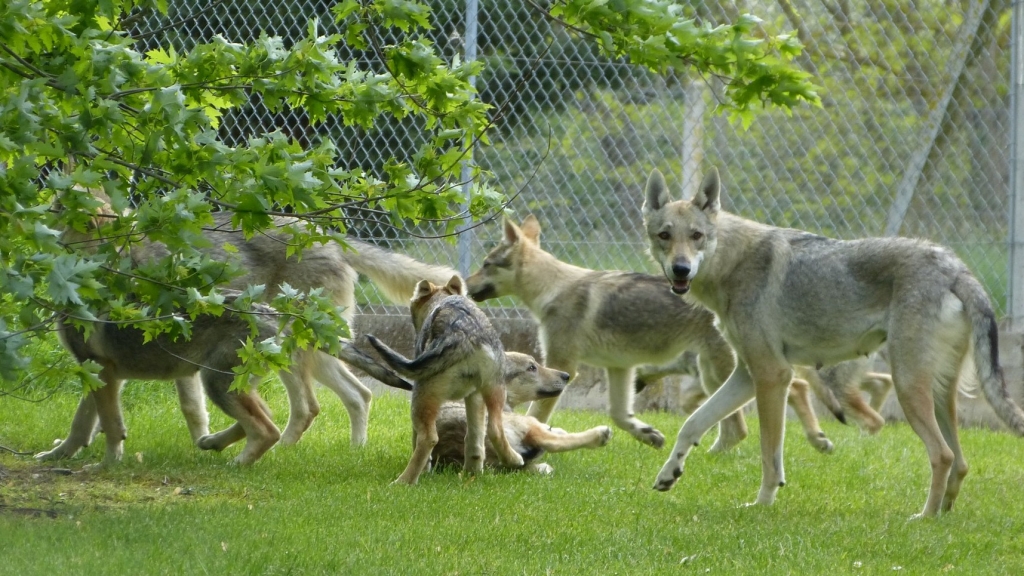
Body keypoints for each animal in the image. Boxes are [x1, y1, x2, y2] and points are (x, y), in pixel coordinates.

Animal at [370, 276, 528, 481]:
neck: (442, 300)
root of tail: (463, 334)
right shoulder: (475, 397)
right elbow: (476, 440)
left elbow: (416, 440)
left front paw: (424, 471)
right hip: (495, 390)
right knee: (492, 430)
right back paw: (501, 463)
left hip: (423, 396)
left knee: (428, 439)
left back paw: (404, 481)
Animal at [468, 214, 835, 453]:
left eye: (486, 264)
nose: (466, 284)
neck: (553, 288)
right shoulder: (620, 368)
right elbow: (620, 416)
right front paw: (648, 435)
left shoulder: (563, 365)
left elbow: (537, 416)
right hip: (716, 371)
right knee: (777, 400)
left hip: (722, 370)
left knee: (772, 404)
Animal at [638, 165, 1024, 516]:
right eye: (665, 235)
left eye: (697, 236)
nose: (681, 270)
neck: (731, 264)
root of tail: (955, 267)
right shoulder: (748, 375)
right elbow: (692, 424)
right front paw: (669, 474)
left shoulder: (772, 375)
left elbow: (769, 455)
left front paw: (761, 505)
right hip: (939, 394)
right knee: (959, 460)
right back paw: (943, 514)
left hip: (908, 386)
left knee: (942, 455)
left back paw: (923, 518)